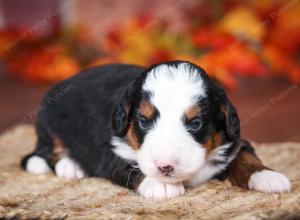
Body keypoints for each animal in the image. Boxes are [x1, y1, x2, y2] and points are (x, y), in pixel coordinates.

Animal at [22, 60, 292, 199]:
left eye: (195, 123)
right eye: (143, 121)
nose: (165, 167)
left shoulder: (233, 141)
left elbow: (245, 158)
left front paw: (268, 176)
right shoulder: (112, 148)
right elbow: (129, 165)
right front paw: (161, 184)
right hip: (47, 122)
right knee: (45, 151)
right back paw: (70, 166)